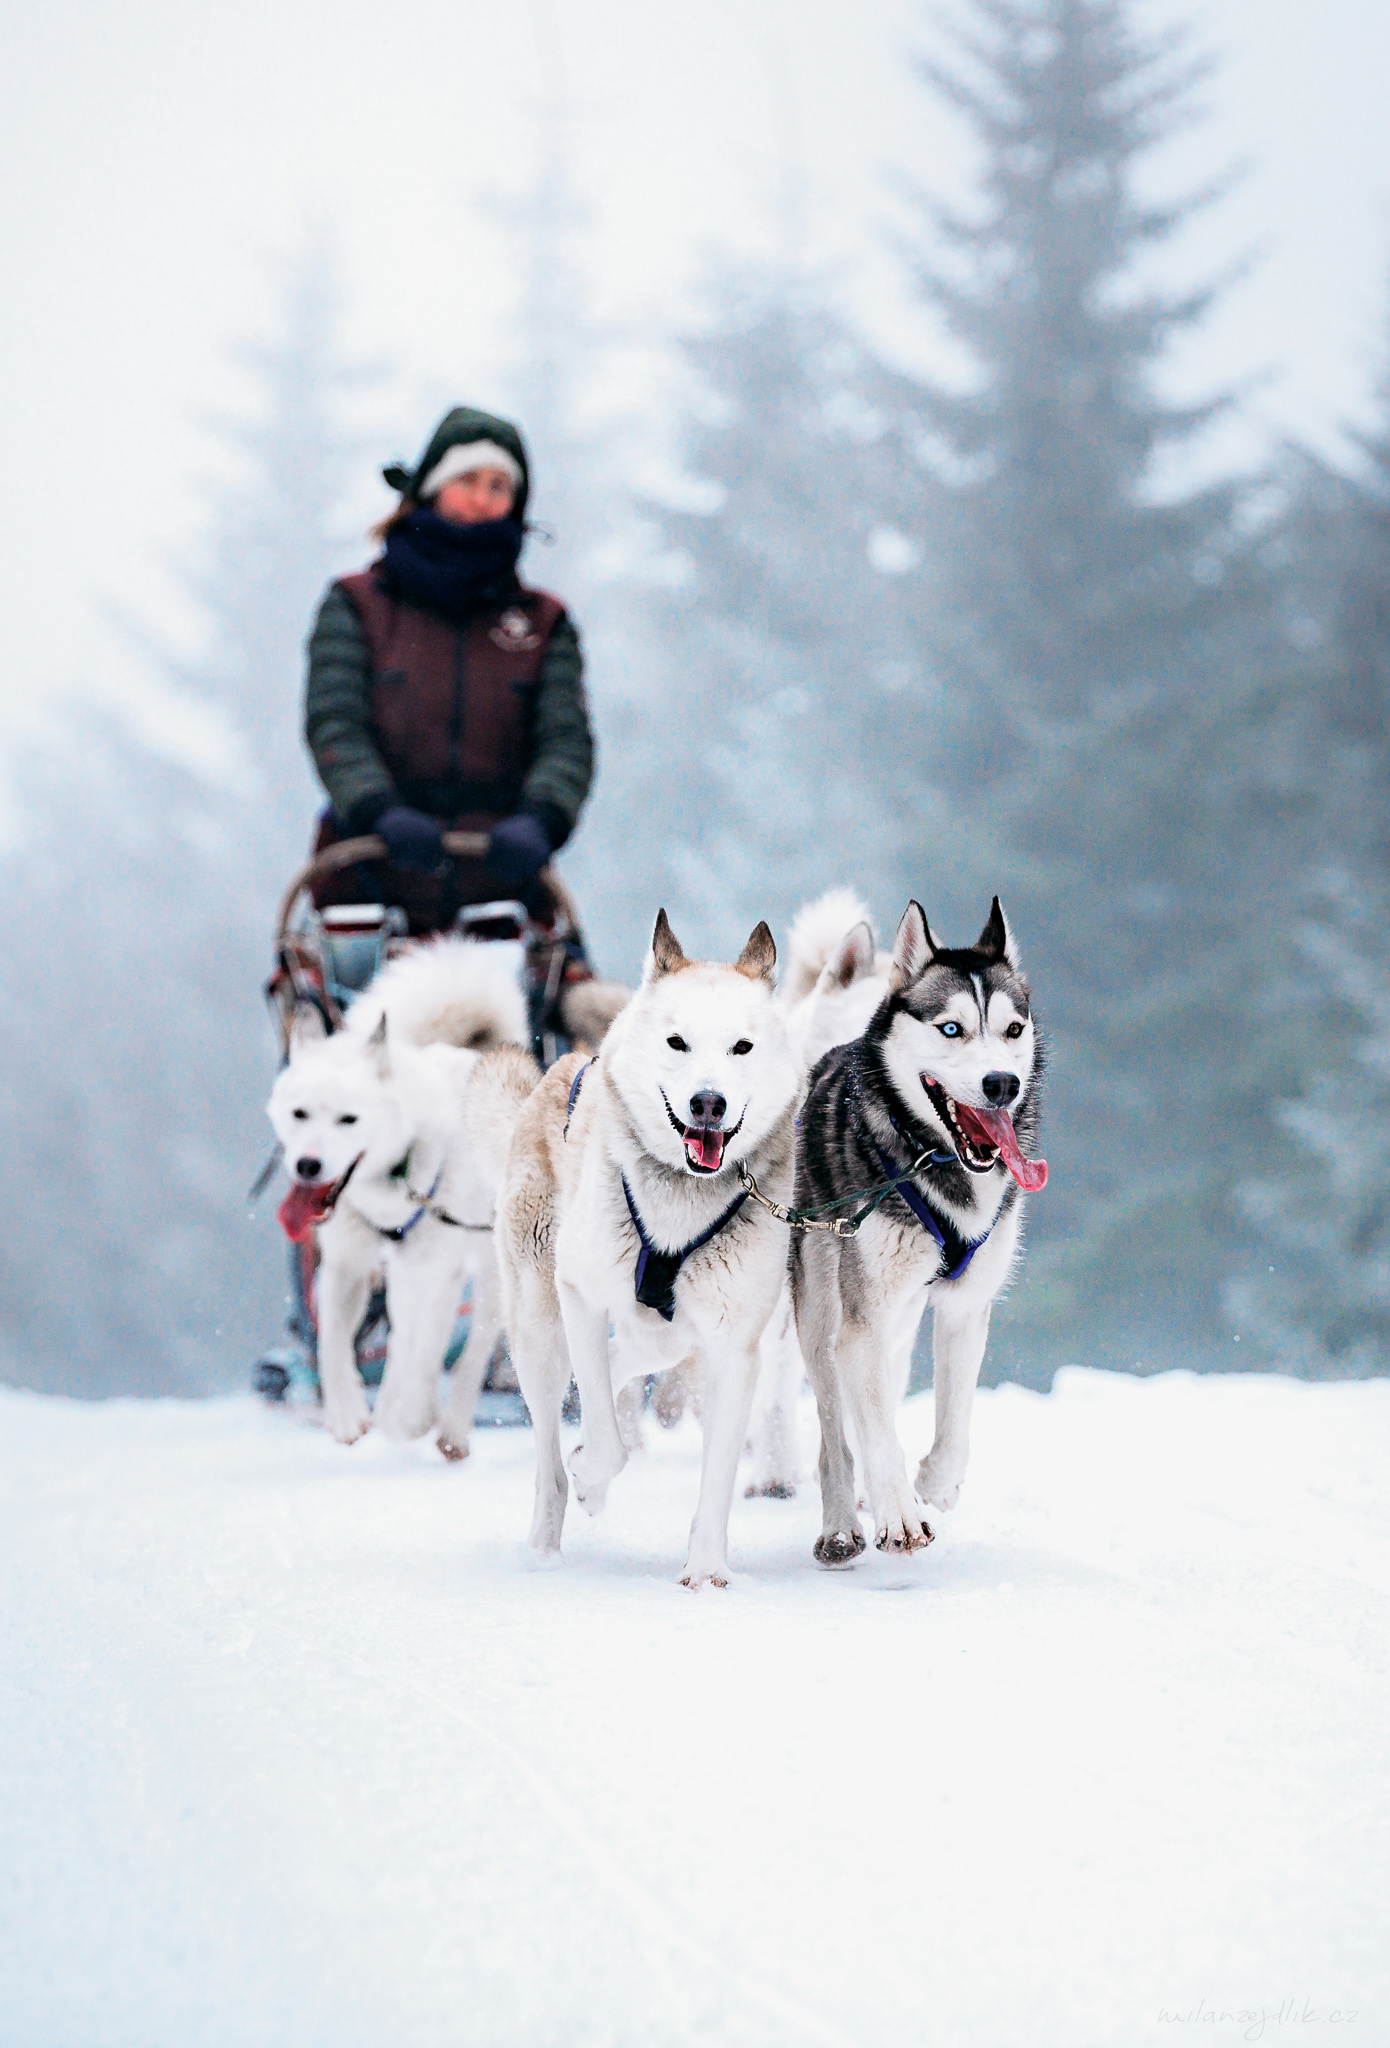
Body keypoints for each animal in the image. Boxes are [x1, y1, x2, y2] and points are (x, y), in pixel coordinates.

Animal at [266, 939, 540, 1453]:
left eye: (348, 1119)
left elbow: (428, 1348)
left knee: (471, 1346)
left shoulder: (441, 1271)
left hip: (491, 1271)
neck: (397, 1174)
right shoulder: (346, 1264)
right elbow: (333, 1344)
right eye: (299, 1113)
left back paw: (447, 1425)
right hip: (401, 1272)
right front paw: (346, 1414)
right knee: (400, 1333)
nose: (308, 1166)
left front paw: (413, 1416)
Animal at [488, 909, 801, 1586]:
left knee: (617, 1362)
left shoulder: (735, 1346)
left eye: (741, 1047)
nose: (708, 1102)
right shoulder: (579, 1295)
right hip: (541, 1327)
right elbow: (605, 1440)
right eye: (677, 1042)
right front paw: (591, 1473)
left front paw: (706, 1570)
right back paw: (548, 1539)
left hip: (668, 1335)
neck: (680, 1204)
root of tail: (558, 1070)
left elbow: (718, 1474)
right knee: (554, 1449)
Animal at [790, 897, 1047, 1563]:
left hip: (898, 1317)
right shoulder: (858, 1322)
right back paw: (840, 1523)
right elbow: (874, 1430)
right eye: (951, 1029)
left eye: (1013, 1030)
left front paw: (935, 1483)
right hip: (820, 1309)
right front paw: (901, 1516)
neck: (935, 1162)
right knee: (833, 1430)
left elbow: (954, 1417)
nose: (1002, 1084)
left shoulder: (965, 1305)